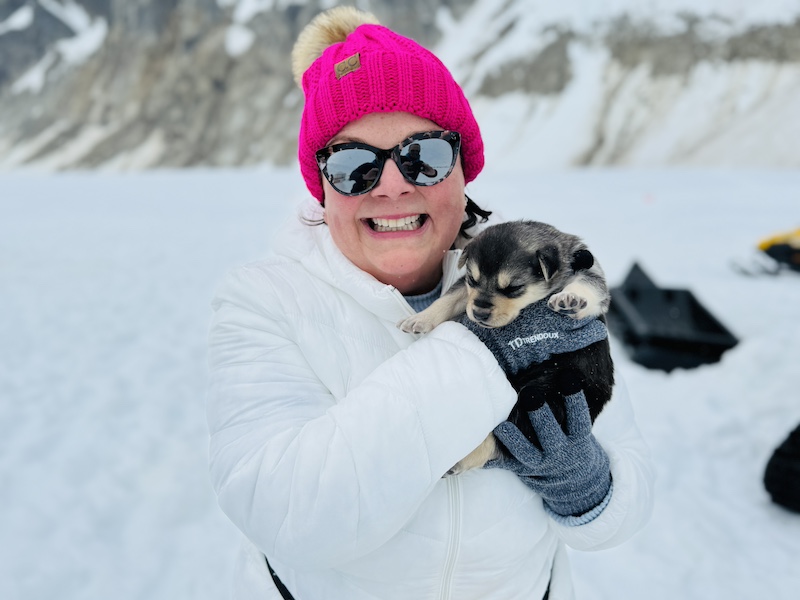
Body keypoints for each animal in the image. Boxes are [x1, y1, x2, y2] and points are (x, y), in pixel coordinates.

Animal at [398, 220, 612, 474]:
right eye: (472, 280)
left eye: (513, 288)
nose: (479, 313)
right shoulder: (464, 289)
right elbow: (449, 298)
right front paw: (420, 319)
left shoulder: (589, 270)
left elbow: (588, 284)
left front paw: (569, 298)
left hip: (549, 395)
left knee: (506, 437)